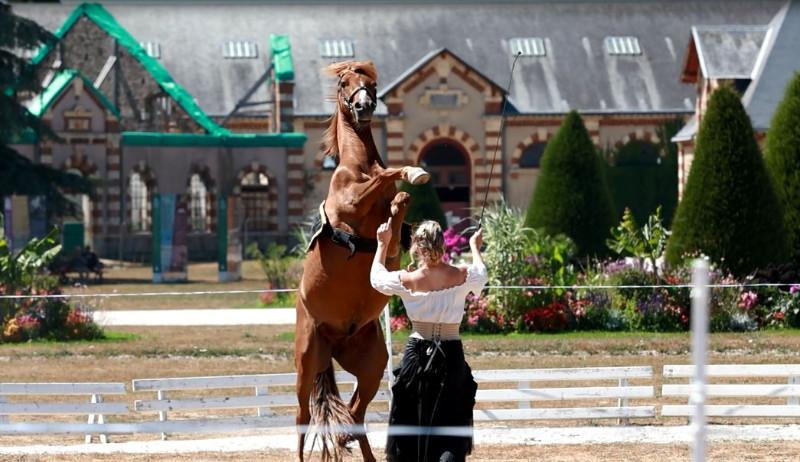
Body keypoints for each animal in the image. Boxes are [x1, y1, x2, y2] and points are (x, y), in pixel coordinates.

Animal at [296, 61, 432, 462]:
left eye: (371, 83)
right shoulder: (354, 200)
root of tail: (333, 340)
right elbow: (385, 177)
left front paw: (407, 186)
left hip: (370, 365)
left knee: (354, 414)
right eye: (344, 83)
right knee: (302, 418)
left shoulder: (390, 244)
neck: (358, 166)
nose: (364, 106)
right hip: (306, 363)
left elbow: (398, 205)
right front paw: (413, 171)